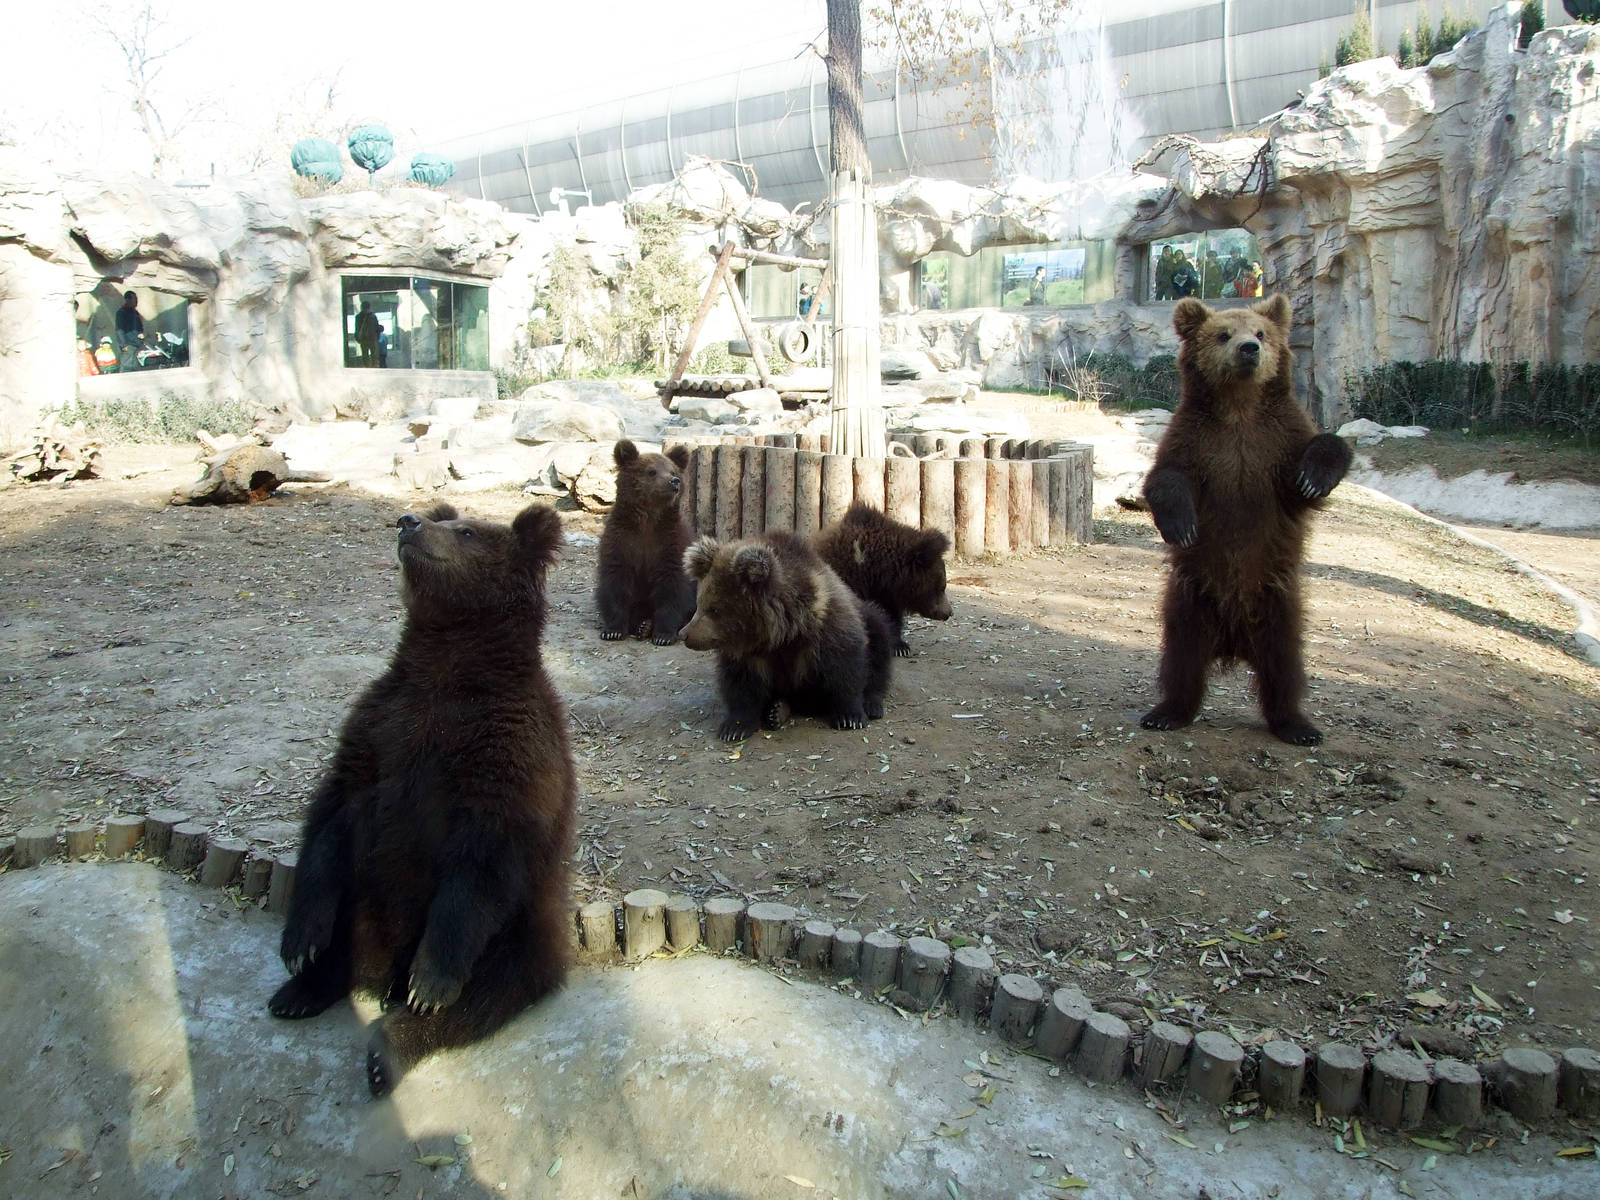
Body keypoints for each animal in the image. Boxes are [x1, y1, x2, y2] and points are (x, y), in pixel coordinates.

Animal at [267, 500, 577, 1098]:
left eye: (468, 531)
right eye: (446, 516)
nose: (408, 521)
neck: (448, 665)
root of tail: (379, 972)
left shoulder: (507, 753)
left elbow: (481, 861)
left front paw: (429, 982)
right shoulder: (380, 727)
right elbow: (332, 815)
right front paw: (300, 941)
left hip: (521, 928)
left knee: (486, 992)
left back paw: (390, 1042)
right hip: (366, 895)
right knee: (346, 912)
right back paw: (303, 989)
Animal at [595, 439, 696, 645]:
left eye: (672, 471)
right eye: (651, 471)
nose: (674, 481)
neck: (647, 520)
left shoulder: (671, 543)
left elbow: (672, 586)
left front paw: (663, 635)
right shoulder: (621, 541)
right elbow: (615, 580)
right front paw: (613, 630)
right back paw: (642, 625)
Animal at [680, 529, 895, 741]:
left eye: (714, 609)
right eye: (699, 603)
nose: (684, 634)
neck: (783, 633)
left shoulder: (827, 628)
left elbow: (846, 666)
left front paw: (850, 717)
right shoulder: (749, 654)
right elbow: (741, 683)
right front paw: (734, 727)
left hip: (867, 617)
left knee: (880, 638)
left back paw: (872, 704)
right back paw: (777, 710)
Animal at [1140, 294, 1352, 746]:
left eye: (1261, 332)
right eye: (1223, 334)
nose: (1249, 350)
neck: (1239, 408)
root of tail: (1233, 643)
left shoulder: (1275, 443)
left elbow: (1318, 455)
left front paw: (1314, 479)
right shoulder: (1194, 442)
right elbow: (1166, 479)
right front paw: (1181, 525)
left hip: (1278, 605)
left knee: (1283, 668)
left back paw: (1297, 725)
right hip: (1190, 600)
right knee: (1181, 660)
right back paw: (1167, 712)